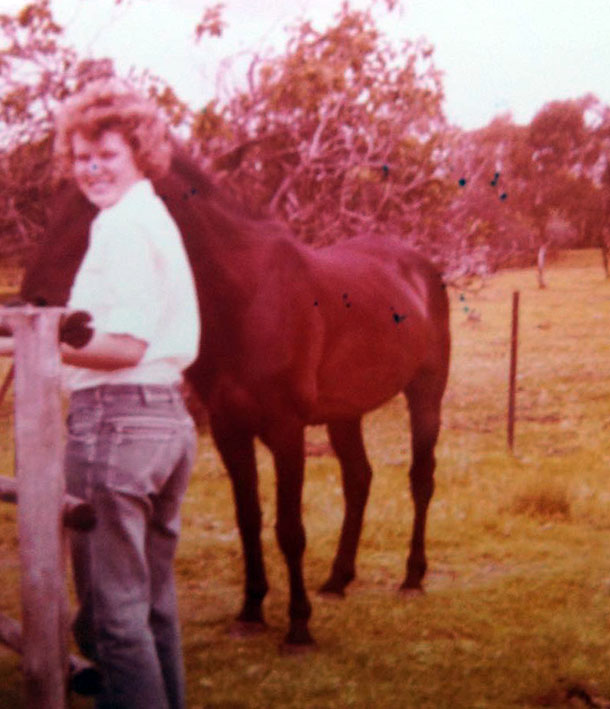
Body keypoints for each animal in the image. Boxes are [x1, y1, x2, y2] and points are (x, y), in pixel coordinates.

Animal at [21, 148, 448, 648]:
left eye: (101, 212)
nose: (35, 302)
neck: (244, 298)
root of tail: (420, 267)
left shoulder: (286, 431)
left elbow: (289, 529)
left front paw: (298, 626)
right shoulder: (230, 430)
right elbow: (248, 520)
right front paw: (251, 610)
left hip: (425, 394)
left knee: (421, 480)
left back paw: (412, 577)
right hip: (345, 414)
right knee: (359, 479)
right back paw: (337, 579)